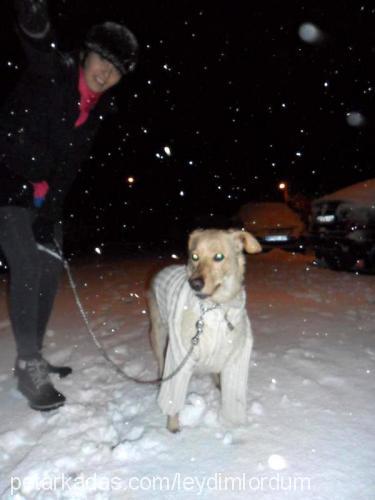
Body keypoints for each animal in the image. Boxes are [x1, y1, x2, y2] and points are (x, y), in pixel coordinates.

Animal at [148, 229, 262, 432]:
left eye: (219, 257)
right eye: (194, 256)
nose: (195, 284)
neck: (215, 309)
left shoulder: (235, 357)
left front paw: (234, 425)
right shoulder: (179, 356)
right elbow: (173, 398)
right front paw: (173, 425)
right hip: (158, 334)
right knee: (161, 362)